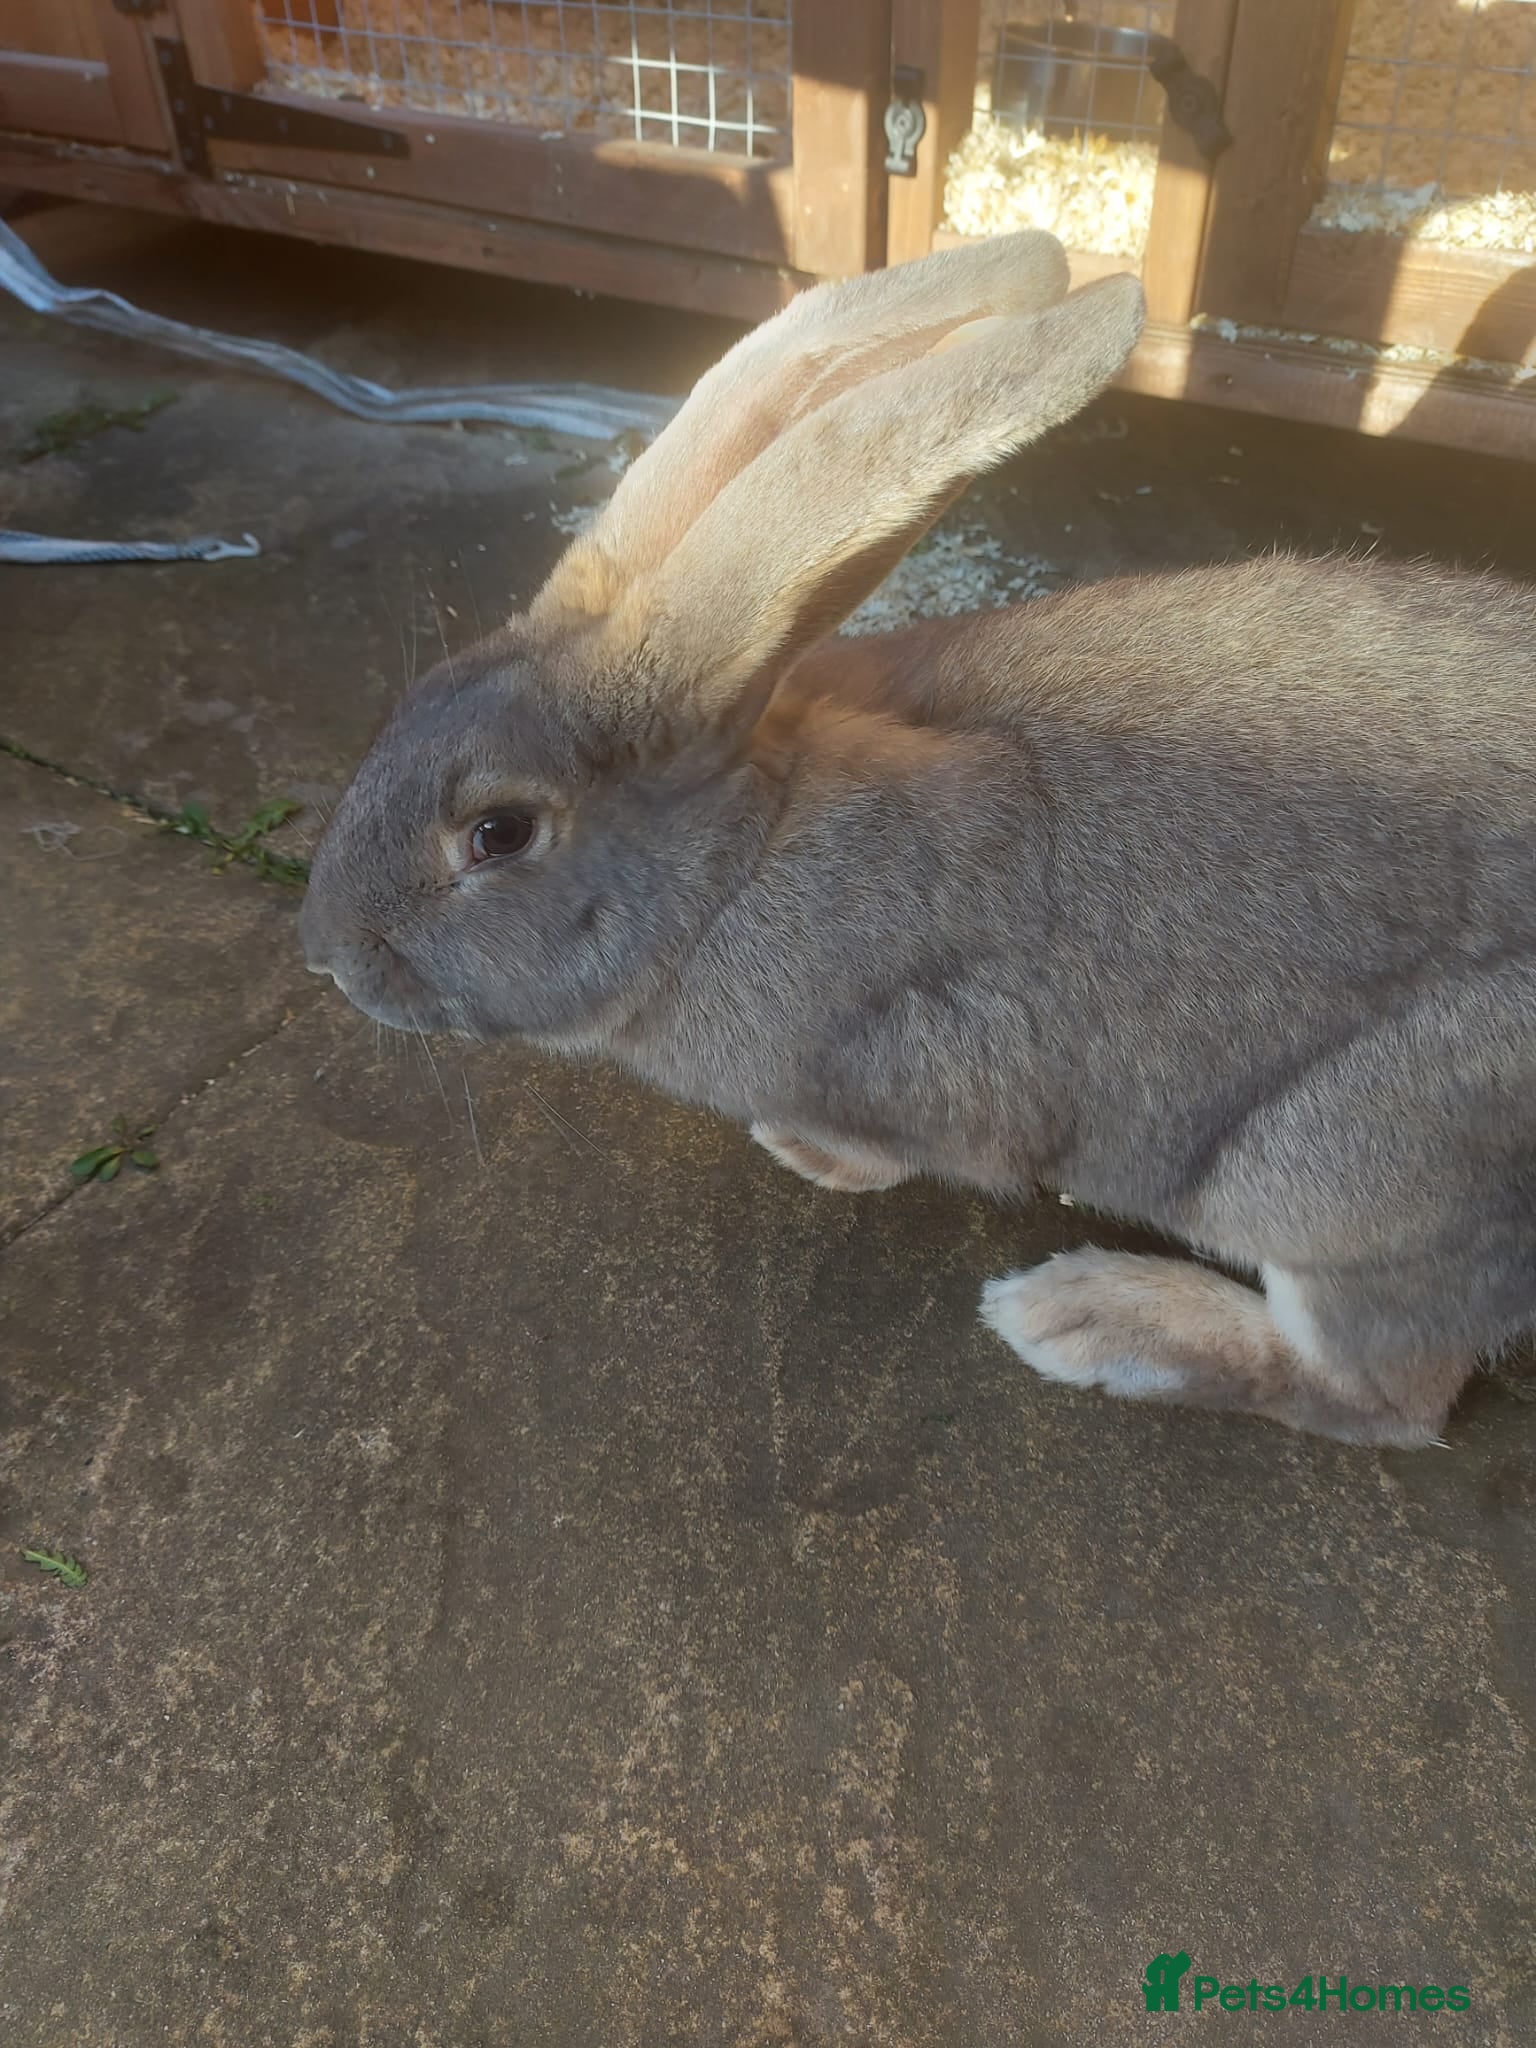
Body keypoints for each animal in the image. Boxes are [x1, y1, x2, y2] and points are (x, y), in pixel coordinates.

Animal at [301, 228, 1536, 1449]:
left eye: (498, 833)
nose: (329, 954)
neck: (737, 864)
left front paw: (806, 1153)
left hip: (1348, 1177)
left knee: (1380, 1394)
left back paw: (1082, 1318)